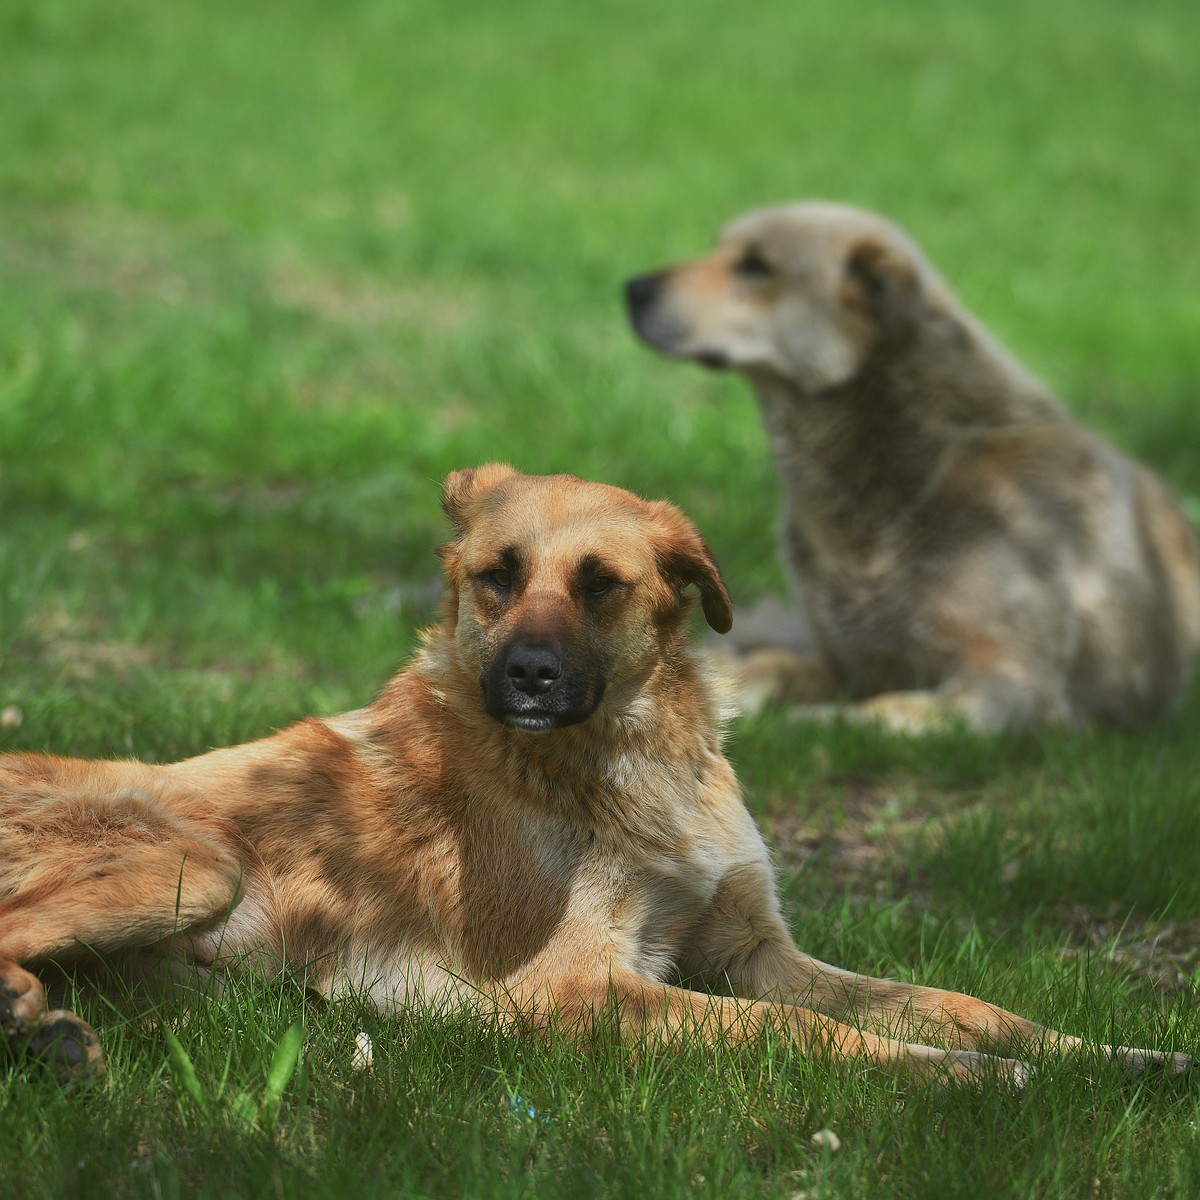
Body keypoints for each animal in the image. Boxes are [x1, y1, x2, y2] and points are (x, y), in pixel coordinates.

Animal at [0, 468, 1185, 1089]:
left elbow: (963, 1003)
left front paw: (1107, 1055)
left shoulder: (752, 949)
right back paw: (34, 1019)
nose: (526, 675)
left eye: (601, 585)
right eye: (498, 577)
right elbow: (805, 1034)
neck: (628, 760)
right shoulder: (585, 989)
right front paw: (959, 1081)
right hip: (192, 862)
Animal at [628, 202, 1200, 729]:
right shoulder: (842, 663)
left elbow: (872, 713)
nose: (632, 287)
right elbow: (767, 667)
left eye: (756, 266)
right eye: (721, 248)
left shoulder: (1011, 686)